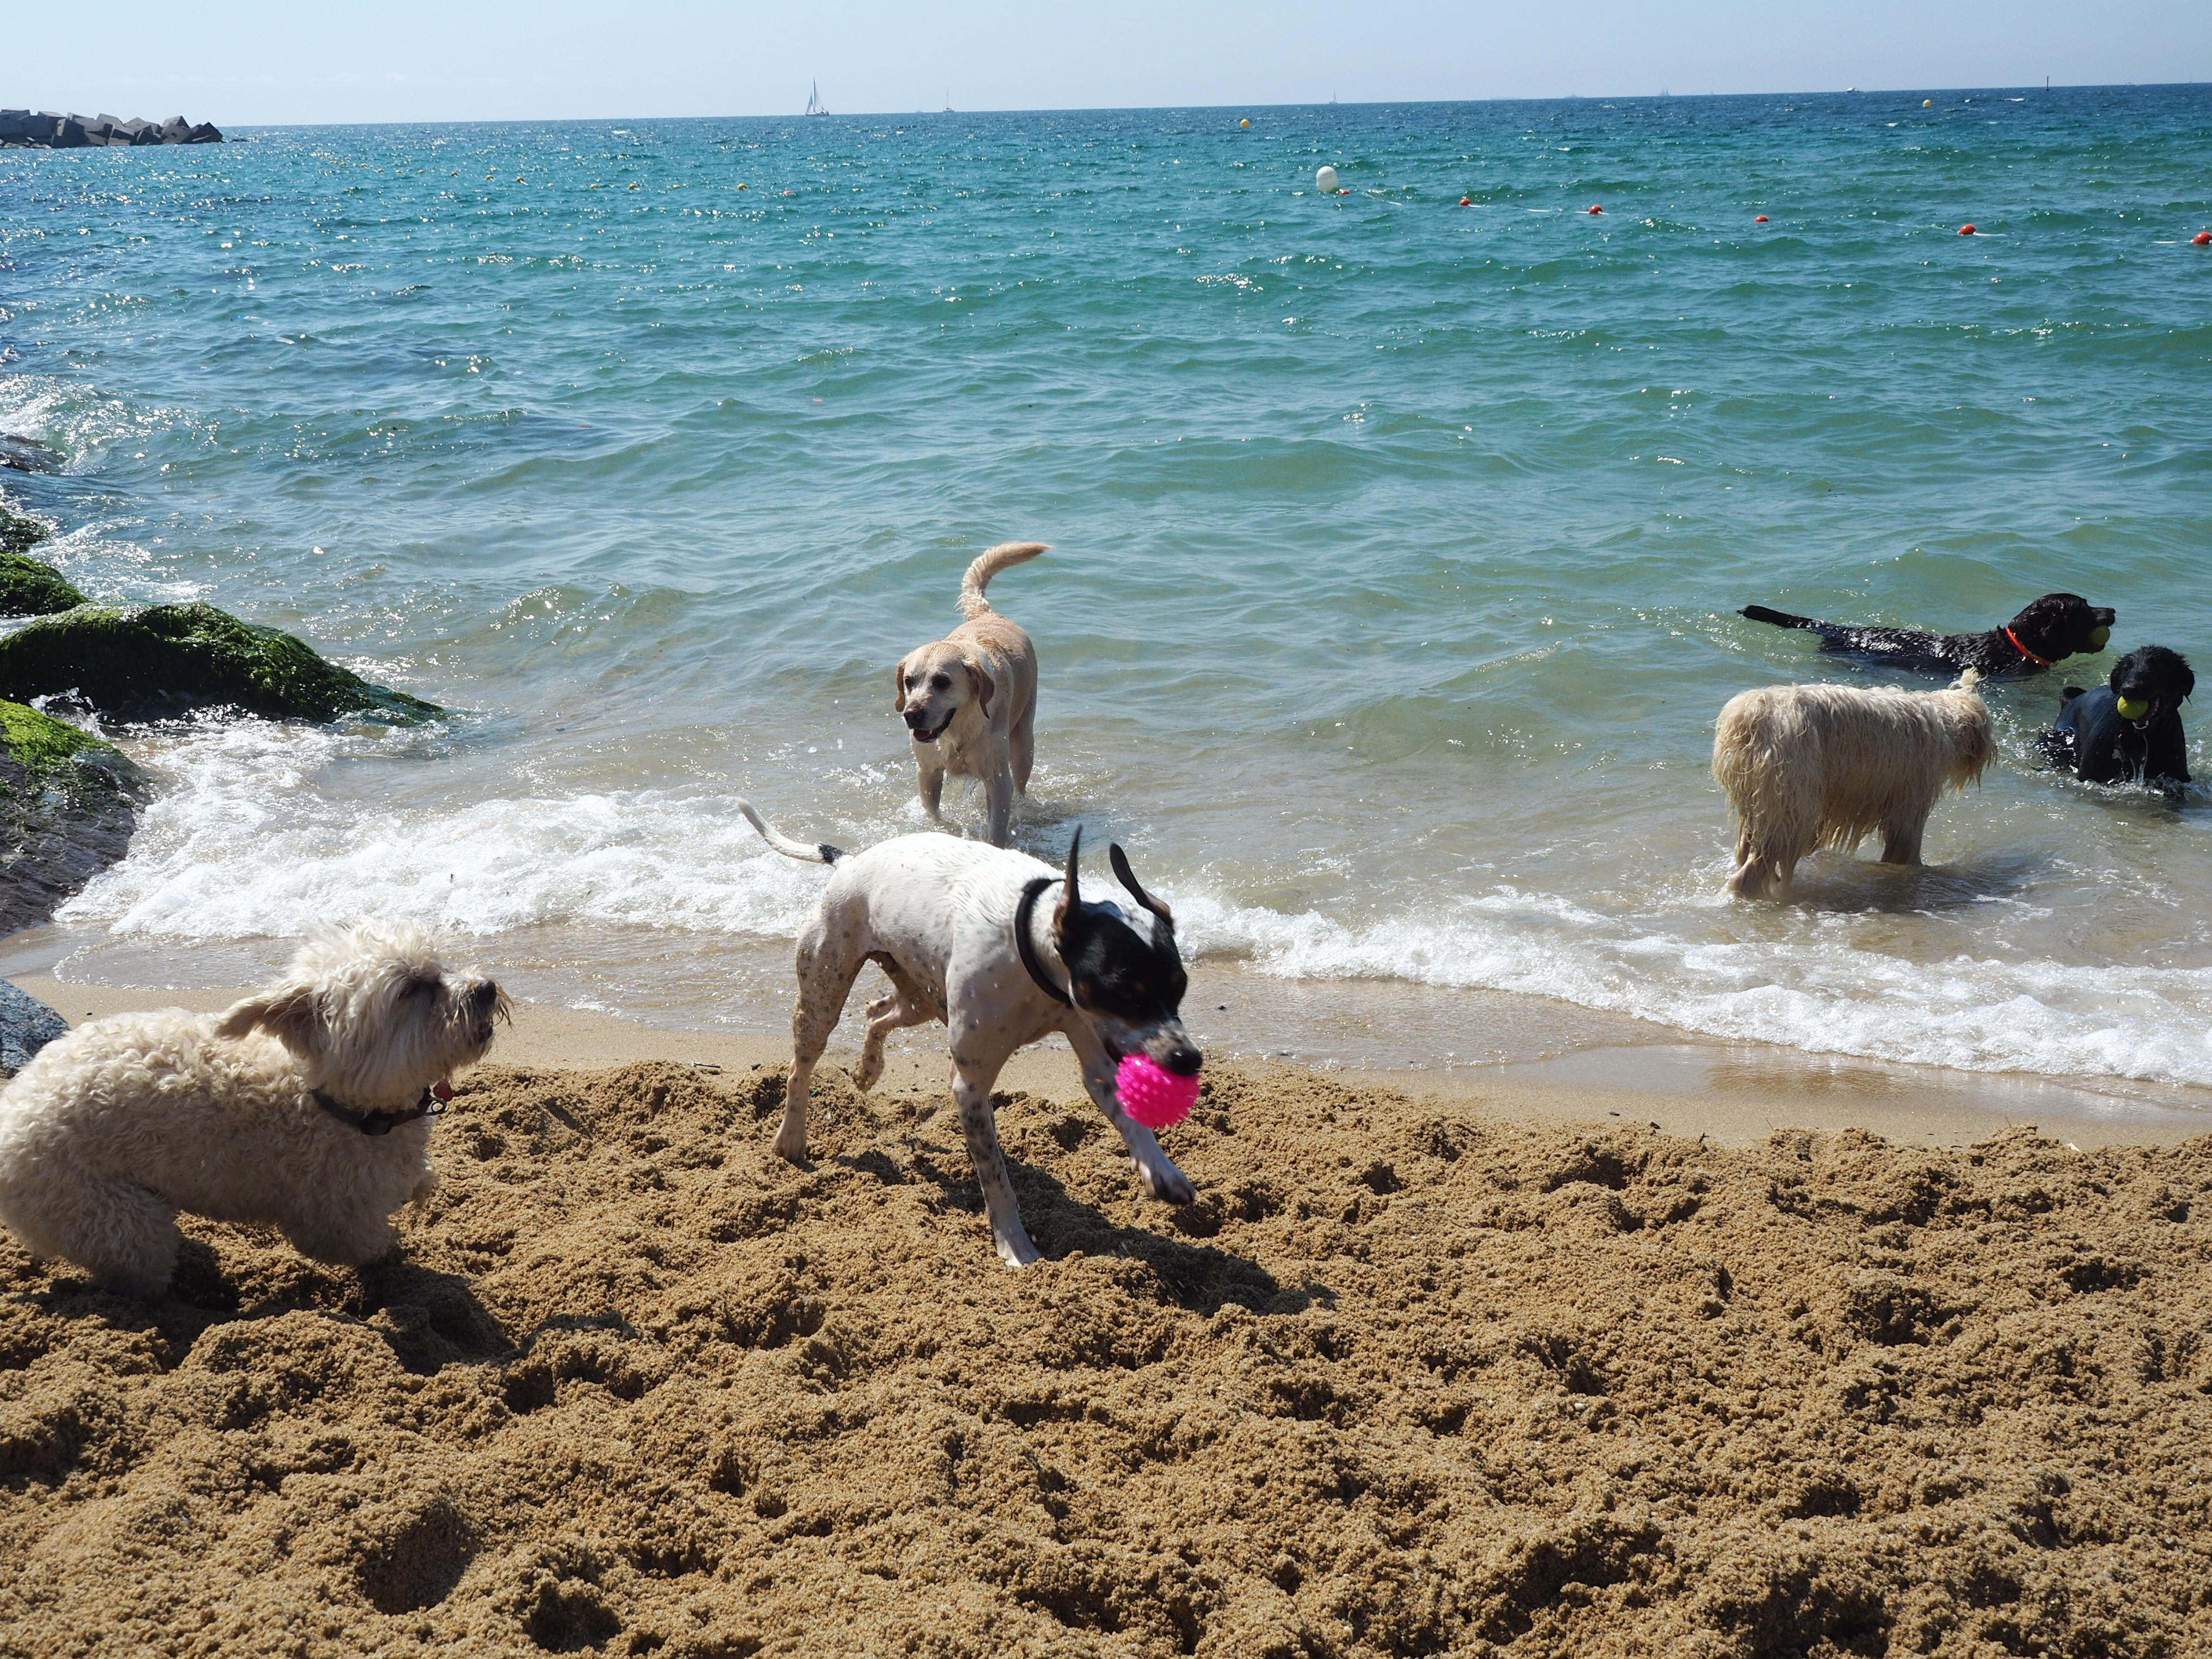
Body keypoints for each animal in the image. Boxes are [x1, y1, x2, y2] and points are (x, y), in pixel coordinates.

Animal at [0, 929, 502, 1310]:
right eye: (413, 989)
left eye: (438, 968)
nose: (487, 988)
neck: (331, 1099)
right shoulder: (333, 1219)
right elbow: (365, 1245)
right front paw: (395, 1253)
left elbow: (415, 1176)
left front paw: (421, 1183)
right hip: (110, 1216)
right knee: (135, 1272)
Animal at [739, 801, 1194, 1265]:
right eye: (1124, 991)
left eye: (1180, 987)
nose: (1188, 1059)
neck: (1031, 944)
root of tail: (849, 863)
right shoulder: (970, 1086)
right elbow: (995, 1177)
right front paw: (1015, 1245)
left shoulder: (1096, 1051)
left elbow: (1128, 1116)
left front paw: (1161, 1170)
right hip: (823, 992)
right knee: (801, 1067)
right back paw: (791, 1137)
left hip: (921, 997)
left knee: (877, 1013)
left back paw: (868, 1069)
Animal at [1699, 677, 2000, 902]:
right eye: (1989, 725)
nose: (1994, 752)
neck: (1943, 717)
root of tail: (1749, 715)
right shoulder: (1912, 797)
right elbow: (1905, 845)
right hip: (1790, 794)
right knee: (1762, 859)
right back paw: (1746, 892)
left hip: (1761, 795)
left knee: (1748, 846)